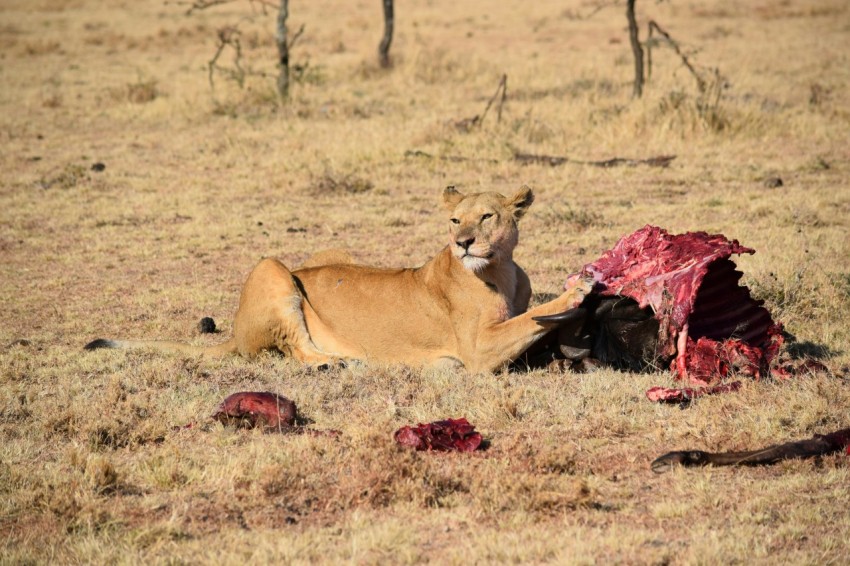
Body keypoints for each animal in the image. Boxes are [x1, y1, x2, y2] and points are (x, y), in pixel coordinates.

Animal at [85, 185, 592, 373]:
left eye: (486, 216)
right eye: (453, 220)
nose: (463, 242)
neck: (501, 269)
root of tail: (234, 333)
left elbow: (530, 320)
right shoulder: (478, 351)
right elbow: (528, 320)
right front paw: (579, 290)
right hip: (272, 268)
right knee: (294, 348)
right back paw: (339, 361)